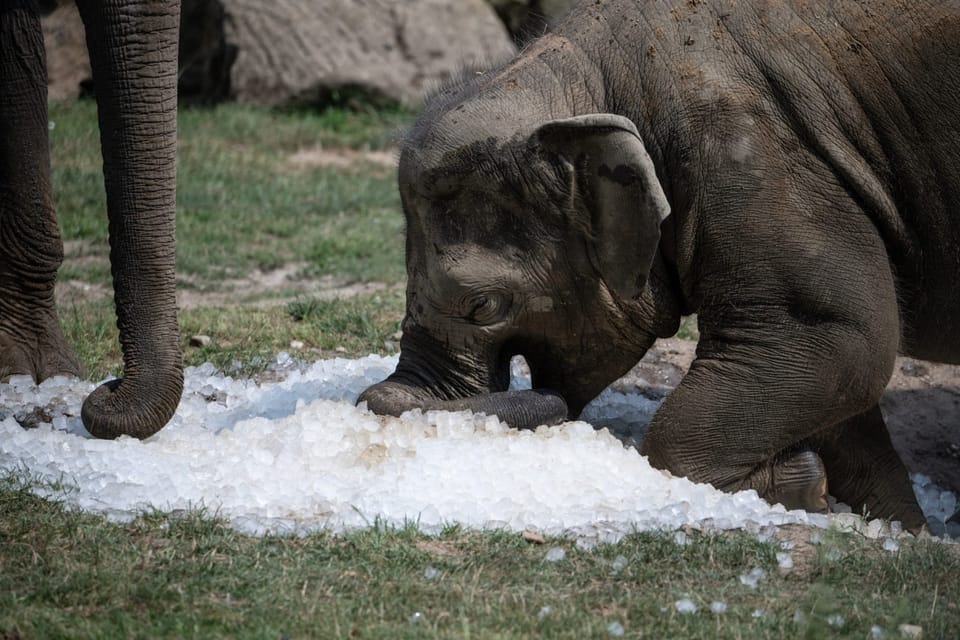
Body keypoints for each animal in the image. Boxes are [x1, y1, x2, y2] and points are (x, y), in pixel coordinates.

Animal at [360, 0, 960, 528]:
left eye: (482, 305)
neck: (600, 75)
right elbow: (842, 374)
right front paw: (894, 526)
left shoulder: (754, 160)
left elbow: (836, 338)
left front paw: (798, 488)